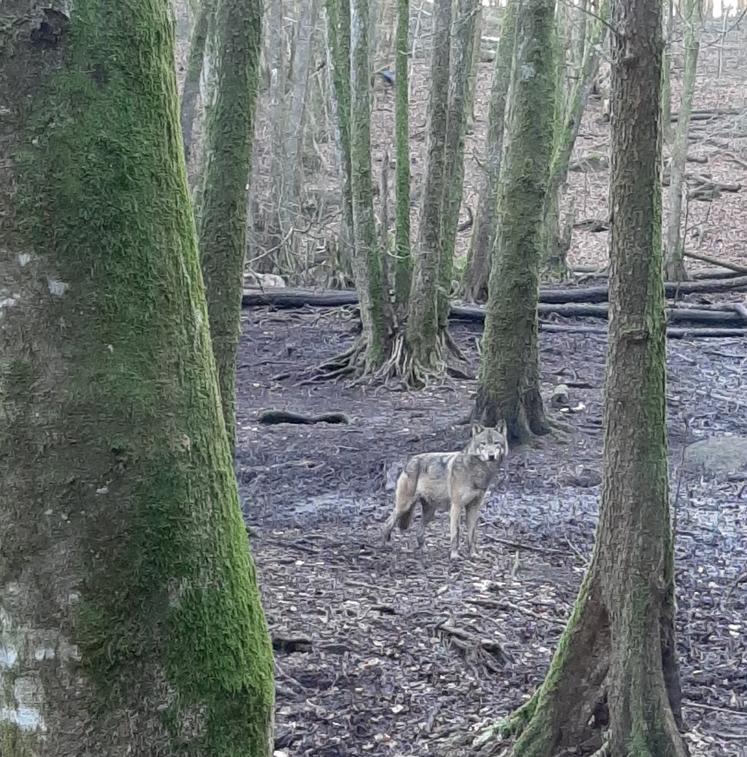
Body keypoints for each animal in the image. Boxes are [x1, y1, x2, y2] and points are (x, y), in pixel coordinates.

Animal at [382, 422, 508, 560]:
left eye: (496, 443)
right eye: (483, 443)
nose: (491, 456)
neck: (477, 472)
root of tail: (409, 461)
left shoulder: (473, 507)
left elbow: (472, 534)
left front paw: (473, 554)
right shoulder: (456, 506)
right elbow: (456, 533)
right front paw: (454, 555)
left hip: (430, 513)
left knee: (418, 530)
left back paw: (423, 549)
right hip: (404, 506)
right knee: (387, 522)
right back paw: (385, 545)